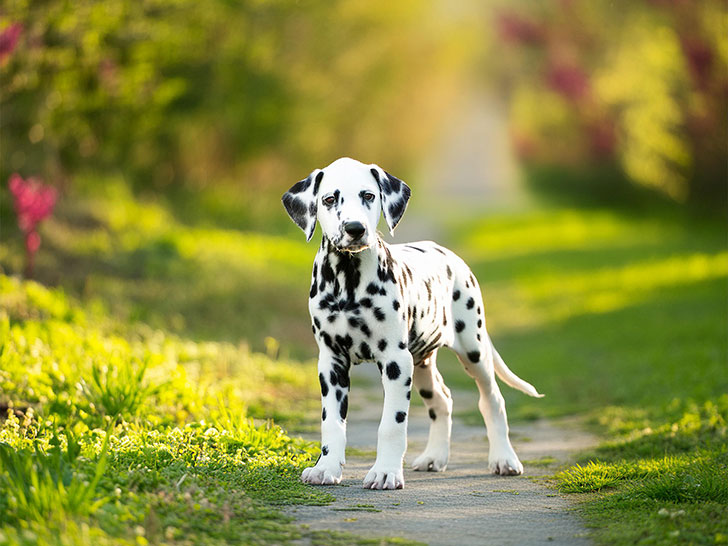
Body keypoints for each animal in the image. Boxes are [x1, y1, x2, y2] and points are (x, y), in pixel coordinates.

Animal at [282, 157, 544, 488]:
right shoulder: (331, 363)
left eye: (368, 195)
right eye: (329, 199)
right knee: (442, 400)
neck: (348, 279)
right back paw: (434, 457)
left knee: (493, 400)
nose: (355, 229)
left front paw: (385, 472)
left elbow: (392, 424)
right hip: (420, 363)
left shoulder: (395, 361)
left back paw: (504, 459)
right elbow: (332, 421)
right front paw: (326, 467)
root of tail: (451, 256)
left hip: (472, 351)